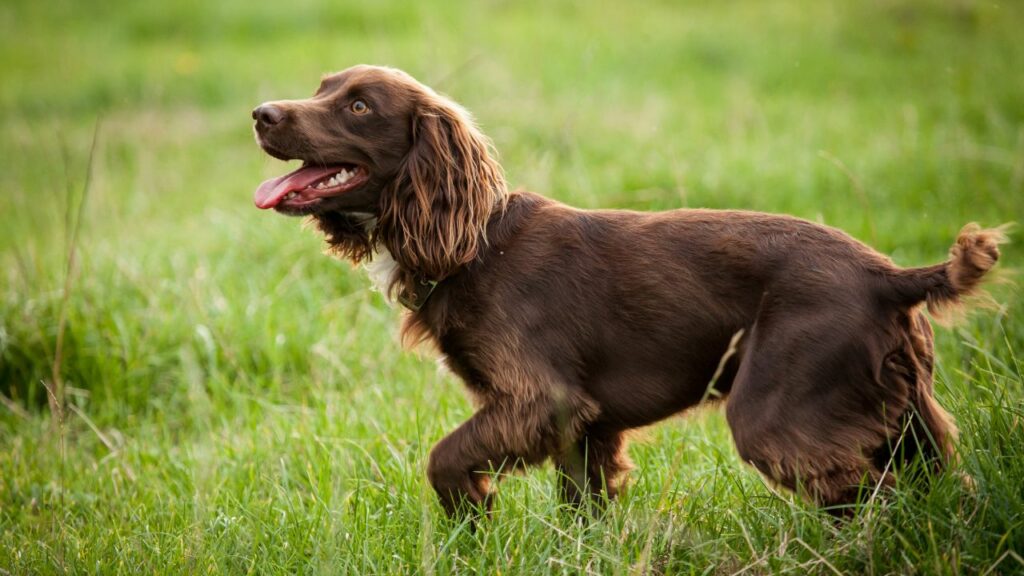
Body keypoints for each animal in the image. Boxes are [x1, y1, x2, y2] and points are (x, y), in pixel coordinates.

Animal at [251, 65, 1003, 512]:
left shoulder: (540, 400)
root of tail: (889, 277)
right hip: (906, 416)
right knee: (939, 488)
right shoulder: (583, 426)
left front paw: (474, 515)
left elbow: (443, 457)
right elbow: (580, 509)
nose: (261, 113)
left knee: (874, 497)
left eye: (357, 105)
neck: (475, 245)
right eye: (321, 87)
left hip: (778, 413)